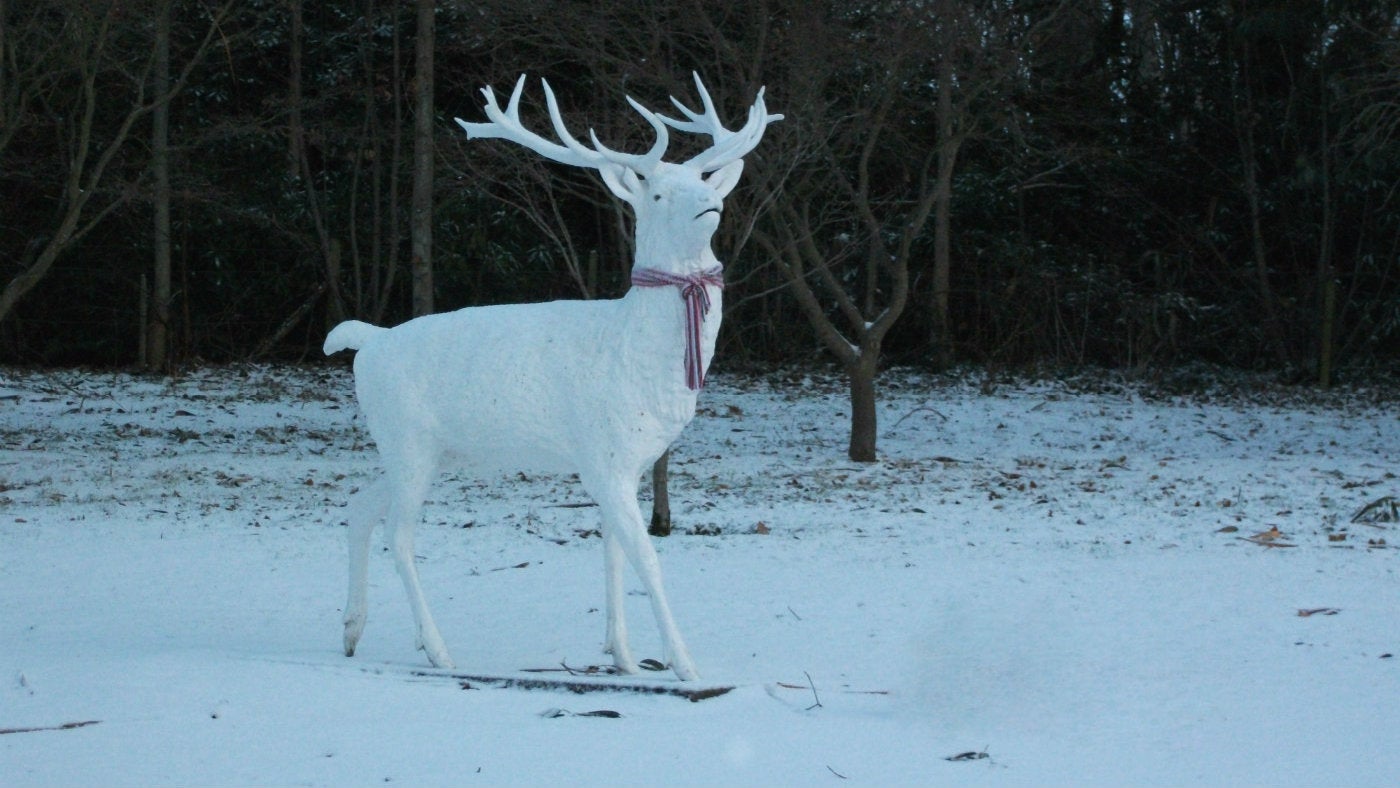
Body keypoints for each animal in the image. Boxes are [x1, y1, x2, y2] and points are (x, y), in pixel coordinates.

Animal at [322, 74, 779, 681]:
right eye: (658, 193)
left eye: (702, 179)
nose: (711, 205)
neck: (632, 352)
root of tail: (366, 343)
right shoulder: (603, 454)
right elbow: (646, 558)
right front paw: (684, 665)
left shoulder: (627, 463)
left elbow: (613, 552)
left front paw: (625, 658)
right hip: (408, 440)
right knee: (399, 534)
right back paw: (439, 650)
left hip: (427, 452)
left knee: (358, 507)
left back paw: (351, 632)